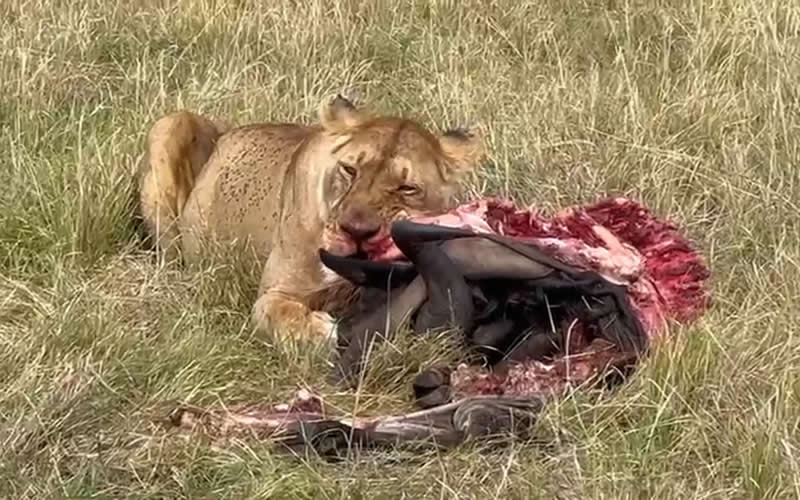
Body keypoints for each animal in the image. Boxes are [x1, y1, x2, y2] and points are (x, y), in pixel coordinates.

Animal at [136, 95, 485, 341]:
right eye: (349, 169)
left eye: (407, 188)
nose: (357, 231)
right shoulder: (272, 295)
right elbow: (285, 317)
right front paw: (320, 332)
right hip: (169, 125)